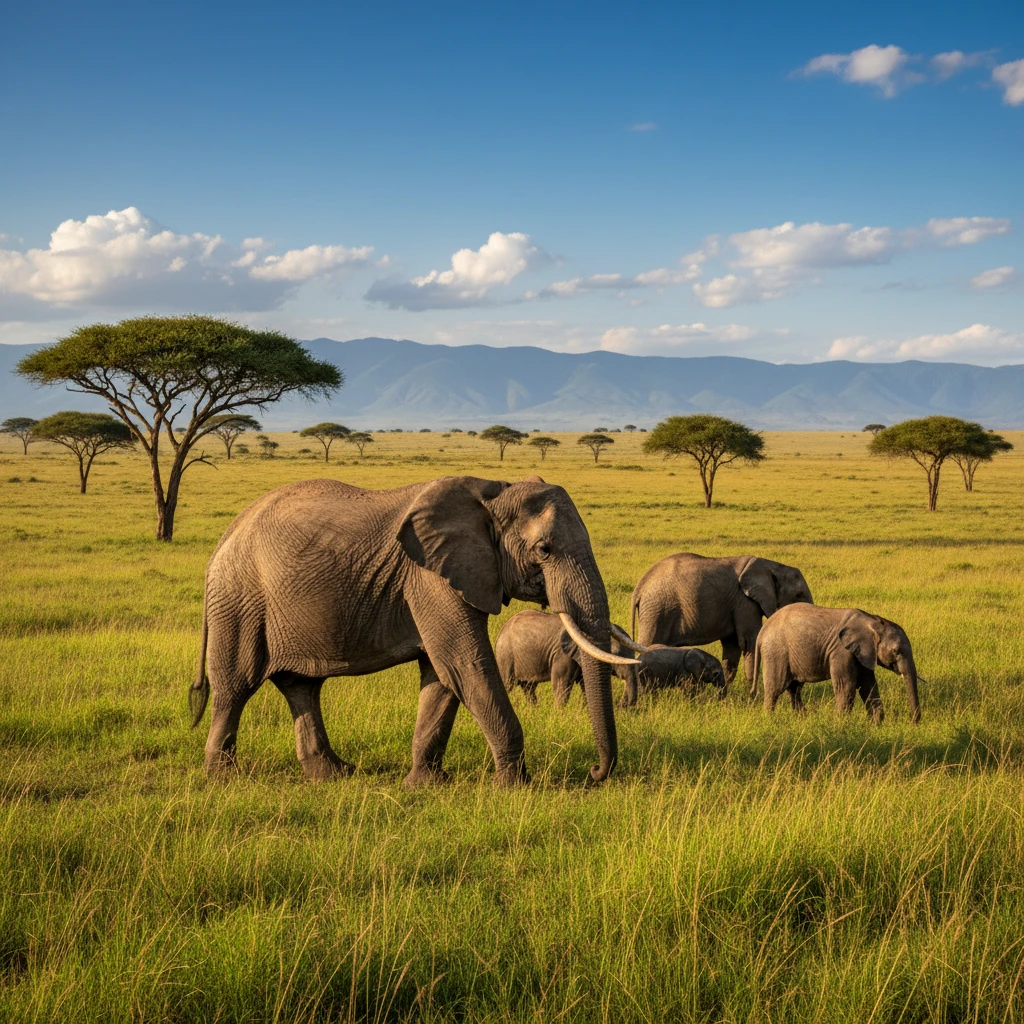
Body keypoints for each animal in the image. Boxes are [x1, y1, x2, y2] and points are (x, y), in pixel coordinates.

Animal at [189, 474, 639, 787]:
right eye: (544, 550)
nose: (594, 772)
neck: (494, 493)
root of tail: (227, 535)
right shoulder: (430, 578)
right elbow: (465, 663)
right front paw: (517, 787)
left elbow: (442, 674)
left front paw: (425, 785)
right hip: (239, 600)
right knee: (235, 687)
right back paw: (223, 777)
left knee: (301, 686)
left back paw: (333, 774)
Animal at [630, 553, 814, 690]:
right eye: (798, 595)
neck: (772, 566)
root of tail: (639, 588)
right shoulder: (744, 601)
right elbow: (749, 641)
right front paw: (752, 694)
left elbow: (732, 646)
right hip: (657, 611)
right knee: (648, 644)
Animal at [750, 604, 921, 724]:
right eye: (896, 651)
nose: (913, 722)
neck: (873, 621)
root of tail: (762, 631)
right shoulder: (842, 652)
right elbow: (847, 686)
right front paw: (840, 724)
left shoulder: (863, 652)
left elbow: (868, 685)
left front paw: (876, 724)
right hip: (776, 651)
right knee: (775, 689)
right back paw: (769, 720)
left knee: (794, 689)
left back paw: (802, 719)